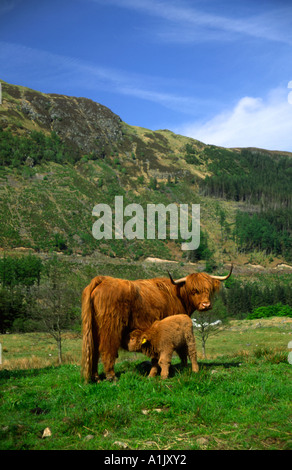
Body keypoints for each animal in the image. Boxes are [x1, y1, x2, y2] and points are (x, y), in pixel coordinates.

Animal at [82, 264, 233, 382]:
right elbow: (181, 351)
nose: (206, 305)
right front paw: (181, 368)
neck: (178, 295)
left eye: (208, 289)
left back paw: (96, 378)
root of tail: (102, 280)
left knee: (93, 351)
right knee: (106, 349)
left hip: (94, 329)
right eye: (193, 290)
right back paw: (111, 377)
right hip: (111, 327)